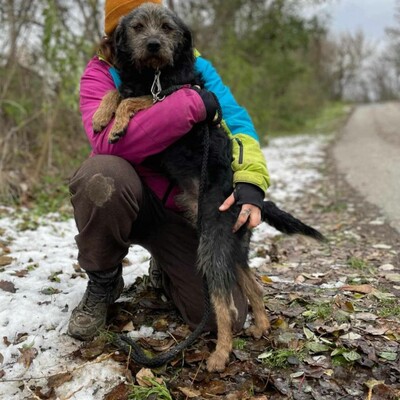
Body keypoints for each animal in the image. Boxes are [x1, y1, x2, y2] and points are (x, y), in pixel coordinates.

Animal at [92, 2, 324, 372]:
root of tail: (247, 198)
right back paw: (260, 325)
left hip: (213, 247)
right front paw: (101, 116)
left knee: (225, 308)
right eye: (138, 27)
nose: (154, 45)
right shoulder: (142, 87)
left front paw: (116, 124)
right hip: (231, 247)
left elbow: (134, 101)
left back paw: (220, 355)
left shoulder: (167, 96)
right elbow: (117, 92)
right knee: (253, 287)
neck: (154, 74)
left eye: (167, 28)